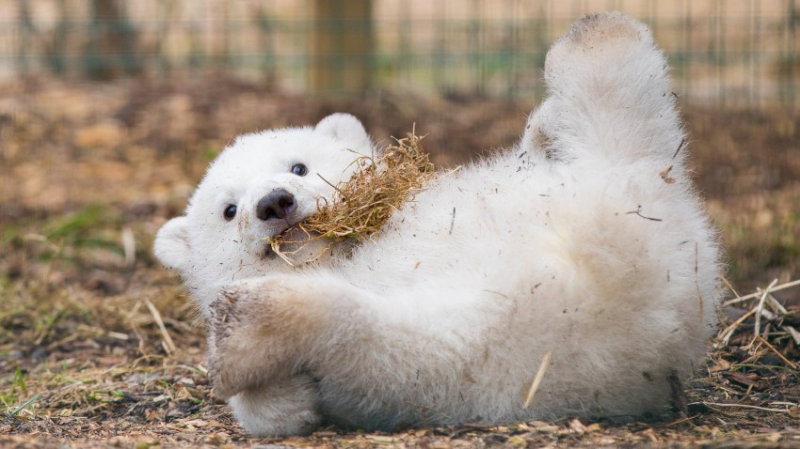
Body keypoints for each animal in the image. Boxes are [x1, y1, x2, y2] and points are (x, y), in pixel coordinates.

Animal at [153, 12, 720, 436]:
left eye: (298, 166)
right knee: (399, 340)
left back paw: (586, 45)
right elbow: (286, 405)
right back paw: (252, 327)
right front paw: (276, 391)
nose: (273, 203)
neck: (344, 251)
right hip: (532, 329)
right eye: (228, 210)